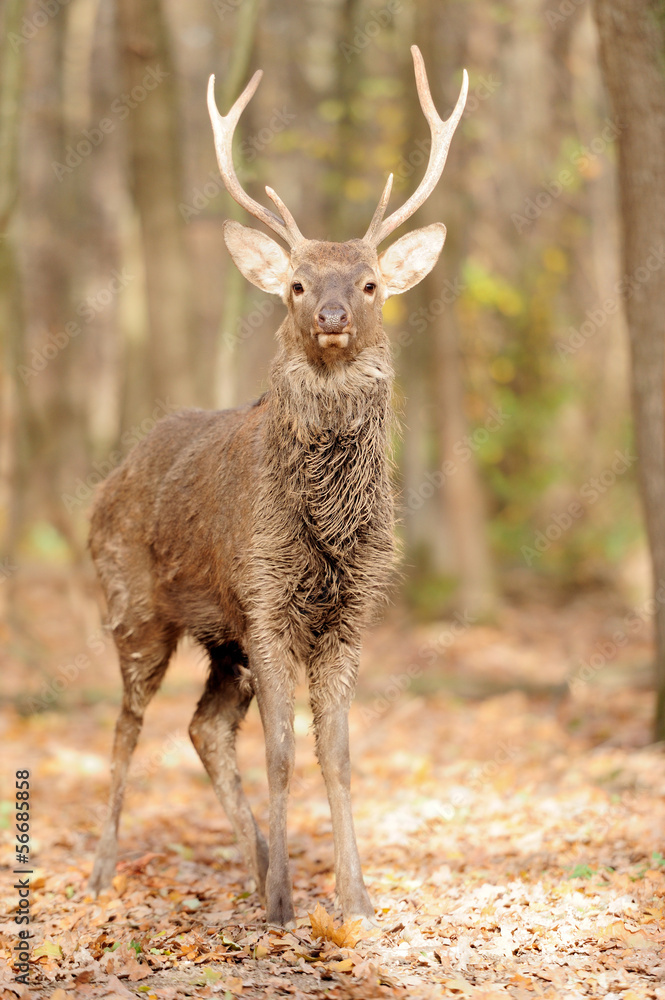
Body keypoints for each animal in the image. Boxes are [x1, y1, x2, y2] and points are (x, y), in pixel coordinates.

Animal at [87, 46, 467, 926]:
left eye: (369, 283)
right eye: (295, 283)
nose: (329, 313)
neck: (323, 529)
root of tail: (108, 480)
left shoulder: (349, 613)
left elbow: (338, 753)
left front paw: (352, 898)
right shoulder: (263, 600)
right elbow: (284, 753)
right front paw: (286, 905)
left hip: (217, 638)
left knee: (202, 728)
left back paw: (254, 862)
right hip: (133, 607)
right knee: (126, 728)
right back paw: (102, 873)